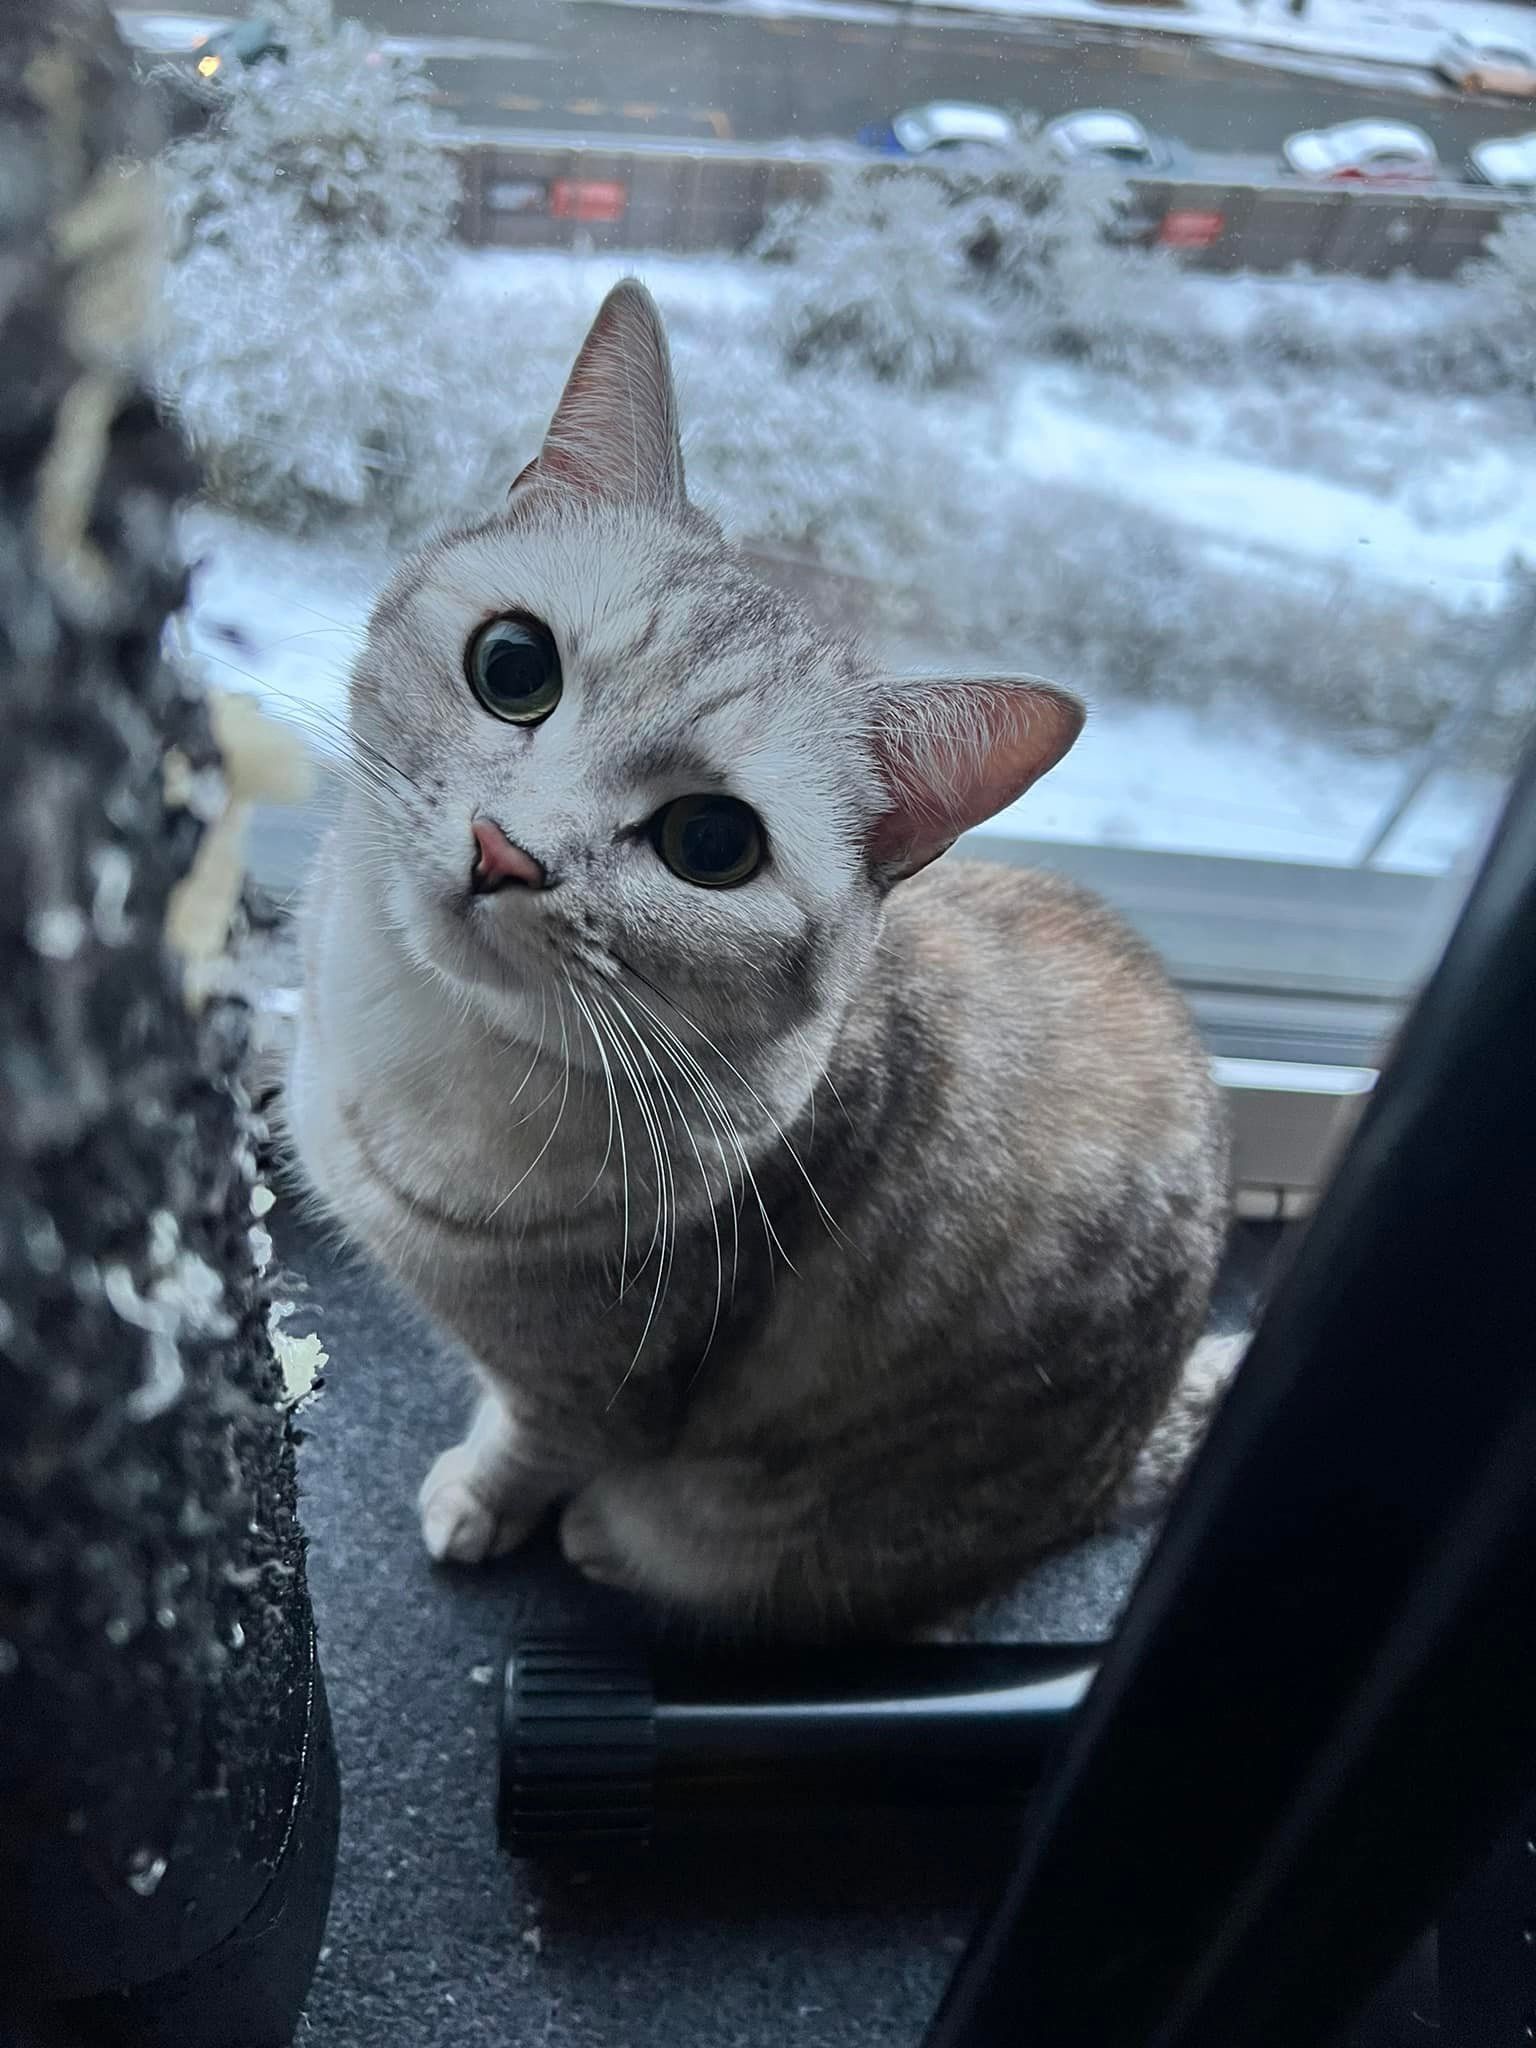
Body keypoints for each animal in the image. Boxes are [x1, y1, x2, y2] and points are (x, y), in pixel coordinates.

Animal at [286, 278, 1230, 1640]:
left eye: (712, 843)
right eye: (513, 665)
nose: (506, 849)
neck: (423, 1036)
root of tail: (1119, 1463)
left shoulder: (601, 1386)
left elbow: (533, 1441)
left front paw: (483, 1497)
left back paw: (610, 1543)